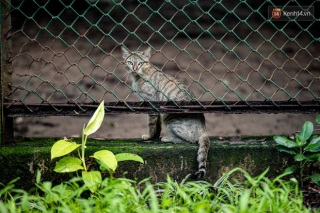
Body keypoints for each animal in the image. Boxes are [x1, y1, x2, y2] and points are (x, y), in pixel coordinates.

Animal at [120, 46, 210, 178]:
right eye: (130, 62)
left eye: (141, 63)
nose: (135, 68)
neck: (138, 77)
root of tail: (204, 131)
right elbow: (157, 124)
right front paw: (155, 135)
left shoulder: (151, 102)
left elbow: (151, 124)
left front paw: (149, 136)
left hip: (170, 118)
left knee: (189, 141)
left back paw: (169, 138)